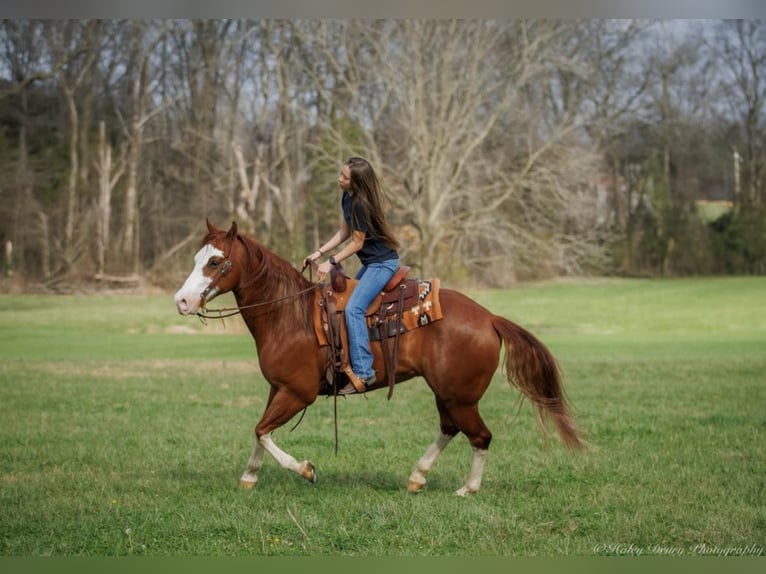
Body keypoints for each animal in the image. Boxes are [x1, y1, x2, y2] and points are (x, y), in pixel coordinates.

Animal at [174, 218, 584, 498]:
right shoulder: (278, 389)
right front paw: (250, 476)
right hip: (447, 393)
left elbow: (262, 430)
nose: (182, 300)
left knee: (480, 436)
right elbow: (261, 430)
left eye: (215, 262)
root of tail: (489, 318)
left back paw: (467, 488)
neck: (290, 315)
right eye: (197, 258)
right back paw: (418, 476)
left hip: (460, 396)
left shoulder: (297, 393)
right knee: (451, 429)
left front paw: (305, 470)